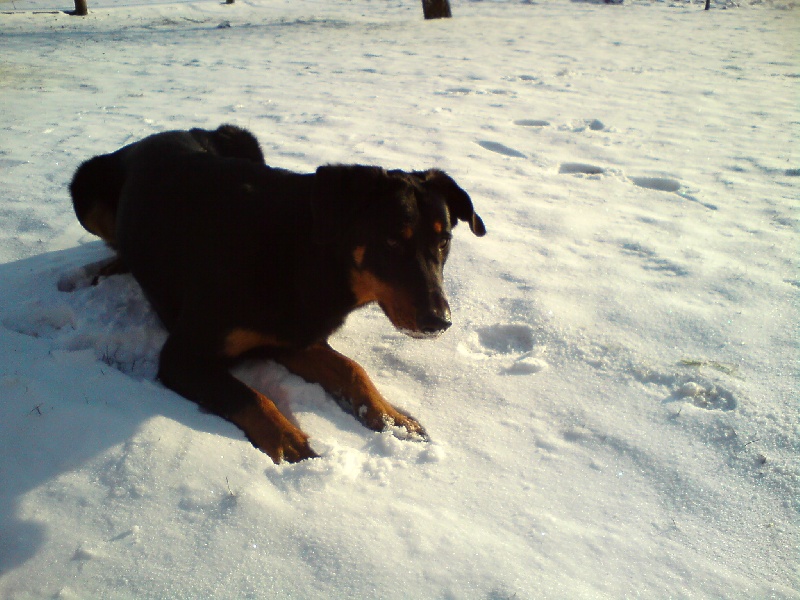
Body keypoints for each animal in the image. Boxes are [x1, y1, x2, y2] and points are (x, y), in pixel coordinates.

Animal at [69, 124, 485, 463]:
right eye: (392, 241)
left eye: (444, 240)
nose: (439, 322)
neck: (305, 258)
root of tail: (153, 136)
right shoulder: (182, 356)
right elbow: (250, 395)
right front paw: (289, 441)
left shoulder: (294, 335)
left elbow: (353, 369)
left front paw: (393, 419)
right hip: (84, 186)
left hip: (244, 141)